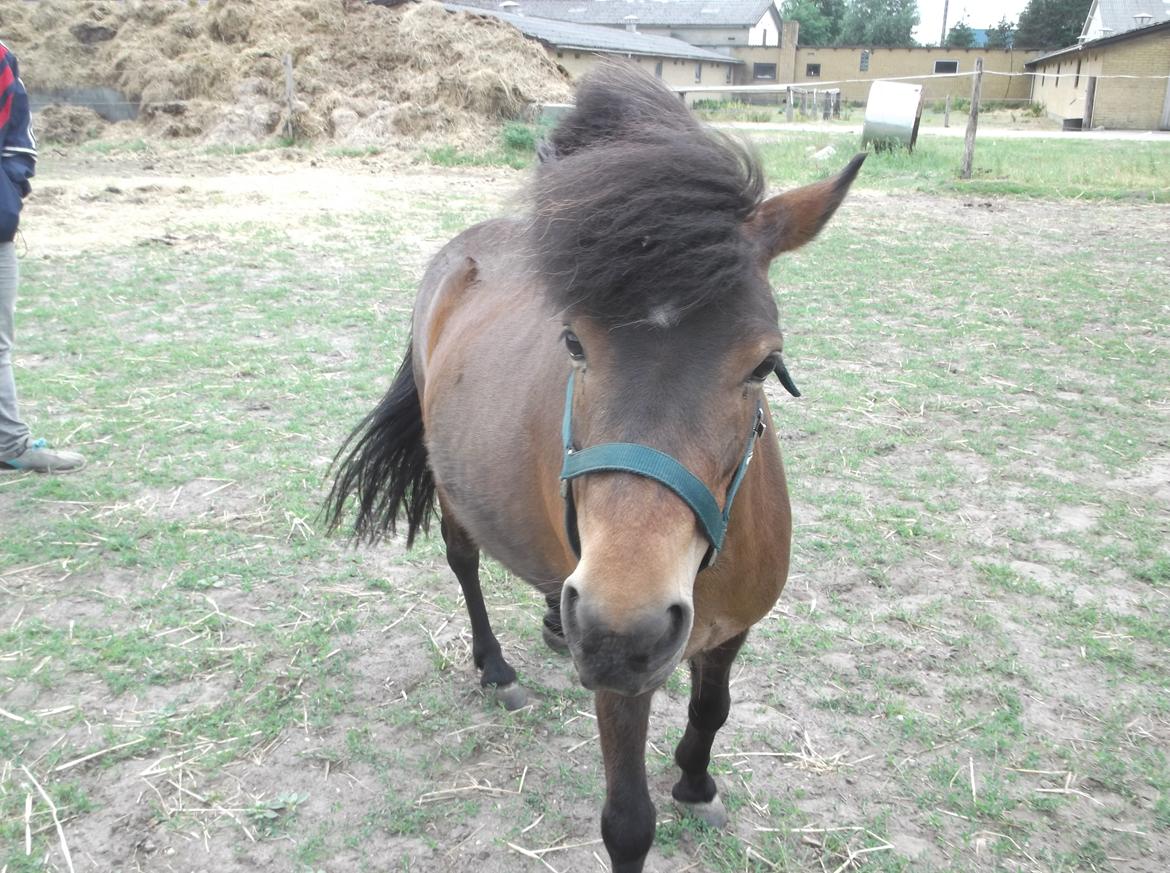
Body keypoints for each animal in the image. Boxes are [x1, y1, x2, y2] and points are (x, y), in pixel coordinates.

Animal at [325, 64, 865, 870]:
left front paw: (696, 783)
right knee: (464, 562)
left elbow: (713, 706)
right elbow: (628, 819)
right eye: (574, 343)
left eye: (765, 363)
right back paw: (497, 670)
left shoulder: (728, 633)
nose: (620, 628)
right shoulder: (621, 682)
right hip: (456, 493)